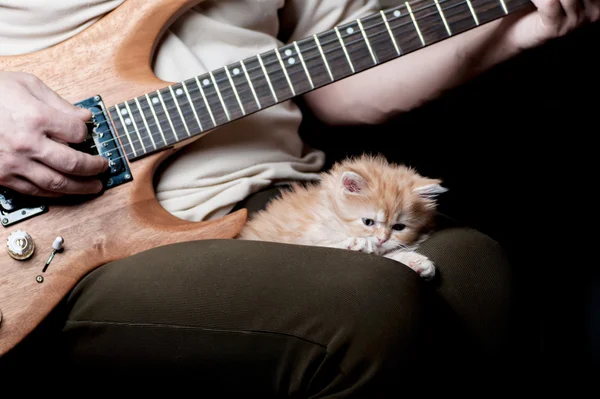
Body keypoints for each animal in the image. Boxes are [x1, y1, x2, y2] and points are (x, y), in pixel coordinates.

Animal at [237, 155, 448, 280]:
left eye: (399, 227)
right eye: (368, 222)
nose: (382, 239)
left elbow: (389, 256)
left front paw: (415, 262)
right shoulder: (303, 239)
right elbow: (330, 244)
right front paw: (358, 243)